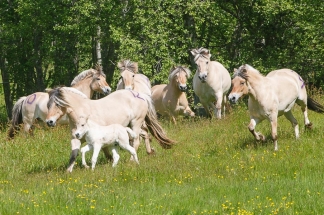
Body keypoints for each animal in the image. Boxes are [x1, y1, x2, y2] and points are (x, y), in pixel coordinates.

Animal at [45, 86, 175, 172]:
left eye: (57, 104)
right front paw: (69, 171)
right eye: (48, 105)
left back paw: (132, 161)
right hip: (129, 126)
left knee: (136, 142)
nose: (49, 122)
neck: (83, 113)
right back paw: (150, 151)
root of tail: (140, 95)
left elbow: (104, 150)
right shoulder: (75, 138)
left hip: (135, 123)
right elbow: (74, 154)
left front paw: (108, 161)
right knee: (145, 134)